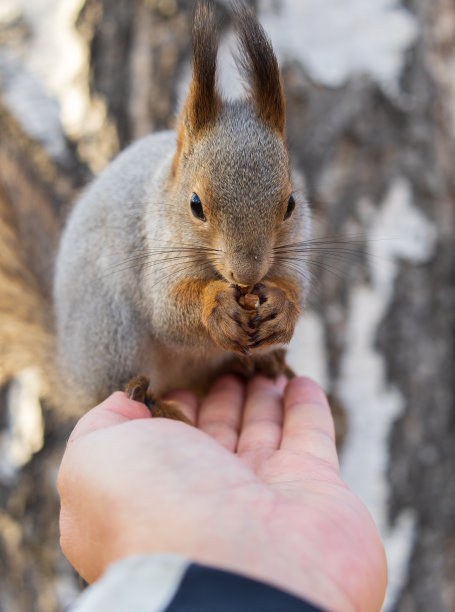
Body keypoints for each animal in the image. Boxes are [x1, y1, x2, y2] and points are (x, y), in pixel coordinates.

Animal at [51, 0, 312, 420]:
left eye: (290, 204)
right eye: (195, 205)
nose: (247, 274)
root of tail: (70, 375)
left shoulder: (295, 246)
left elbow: (295, 287)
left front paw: (282, 308)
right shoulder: (156, 249)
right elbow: (168, 311)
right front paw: (216, 305)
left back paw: (259, 362)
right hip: (111, 332)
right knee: (112, 383)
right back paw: (149, 399)